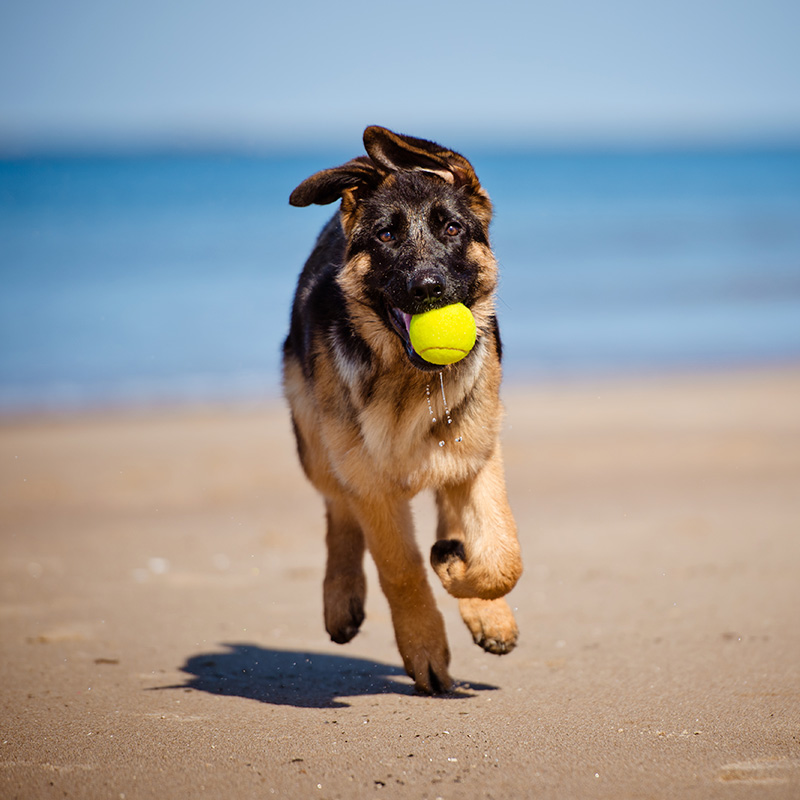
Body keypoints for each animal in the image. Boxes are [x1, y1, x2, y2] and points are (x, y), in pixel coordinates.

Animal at [284, 126, 520, 692]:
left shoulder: (478, 457)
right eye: (386, 236)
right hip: (317, 441)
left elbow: (502, 554)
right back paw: (341, 596)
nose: (429, 288)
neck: (412, 383)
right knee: (337, 506)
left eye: (453, 228)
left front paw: (474, 589)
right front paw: (425, 648)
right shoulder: (372, 486)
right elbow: (402, 570)